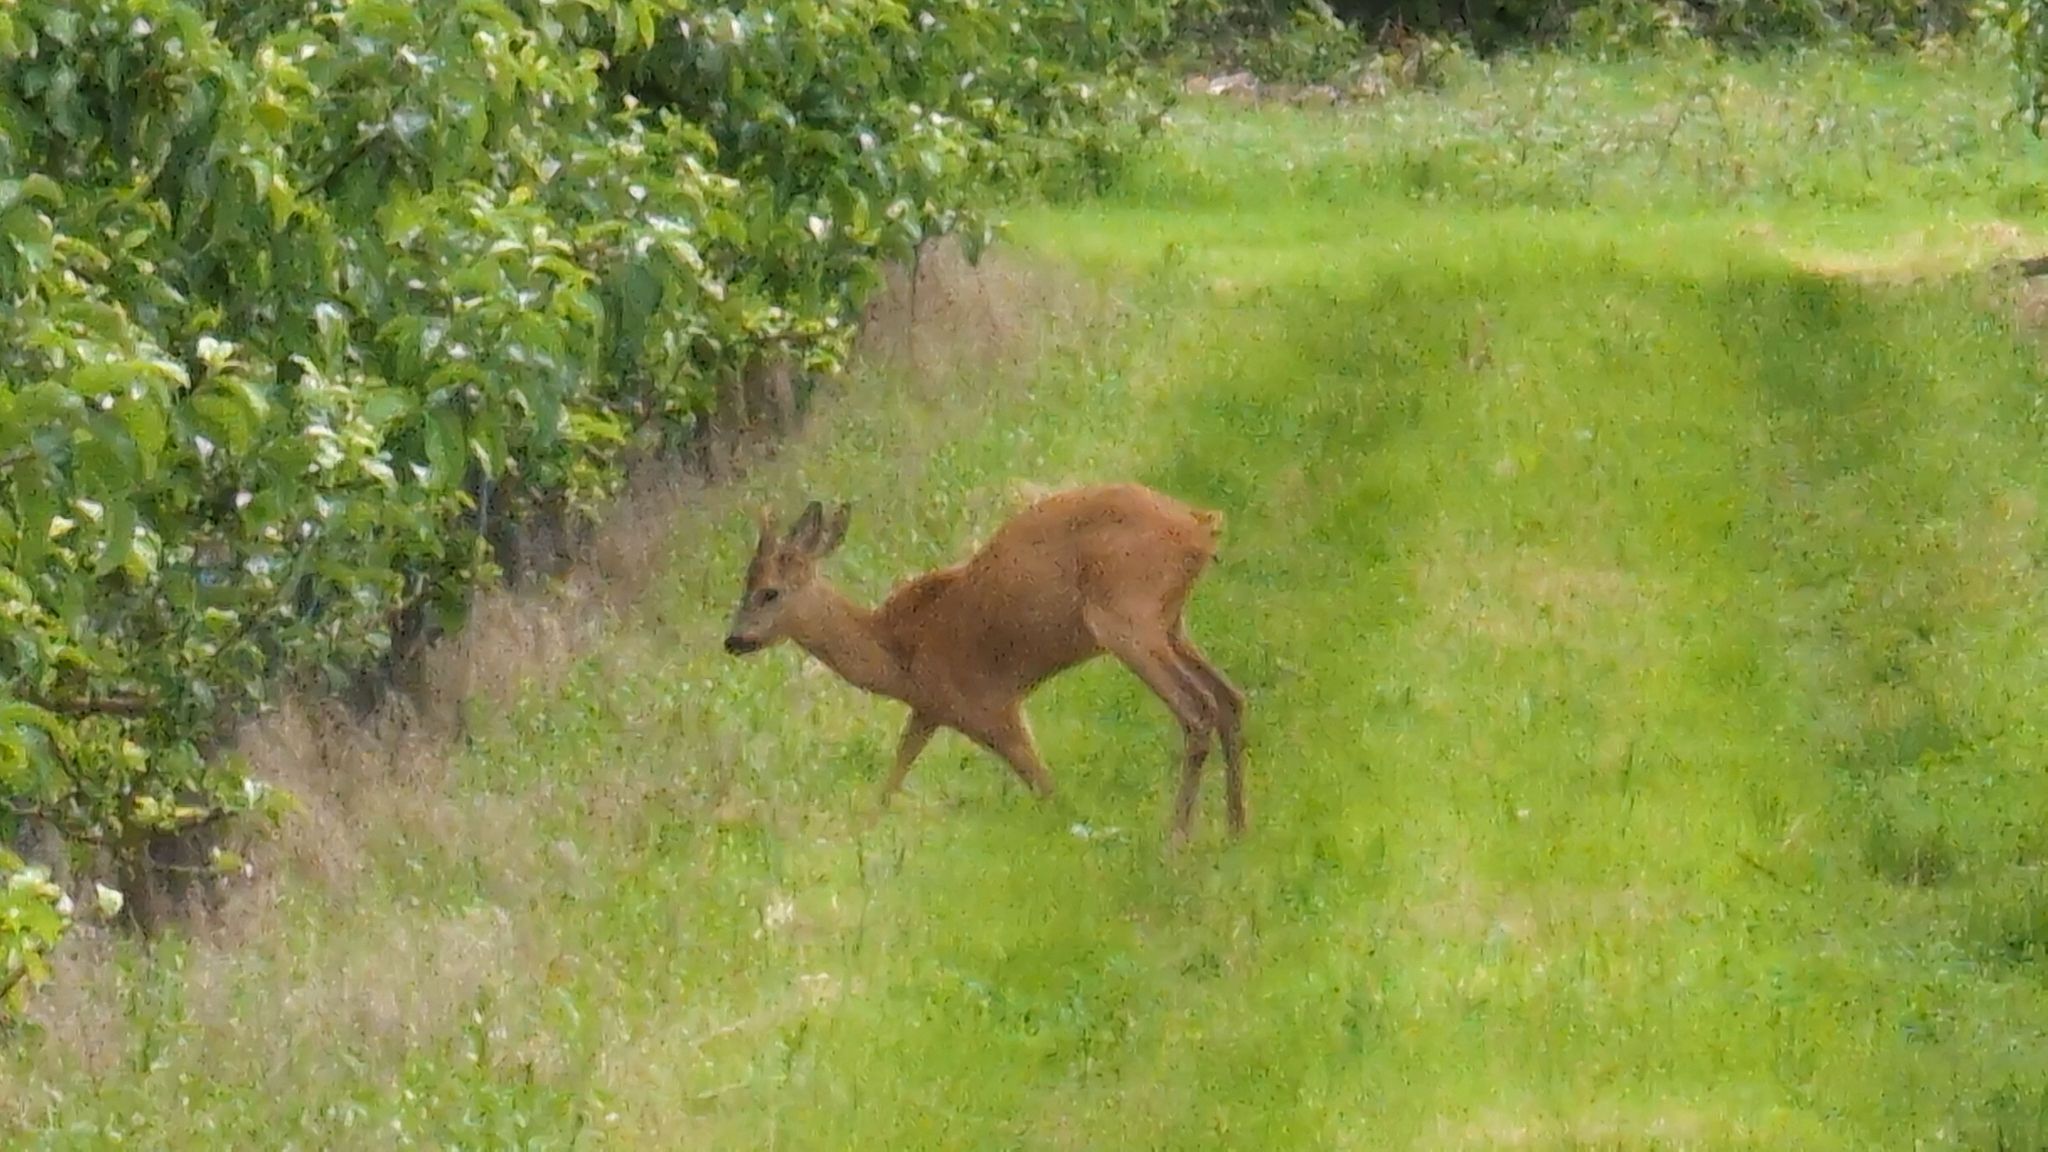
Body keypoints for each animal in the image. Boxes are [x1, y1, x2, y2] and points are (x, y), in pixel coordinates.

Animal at [721, 483, 1248, 843]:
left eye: (768, 592)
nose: (733, 639)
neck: (894, 653)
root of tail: (1200, 525)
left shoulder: (988, 707)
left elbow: (1042, 783)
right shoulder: (930, 710)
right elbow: (894, 775)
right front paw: (865, 830)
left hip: (1126, 617)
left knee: (1198, 709)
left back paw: (1177, 839)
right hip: (1170, 622)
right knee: (1231, 698)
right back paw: (1236, 829)